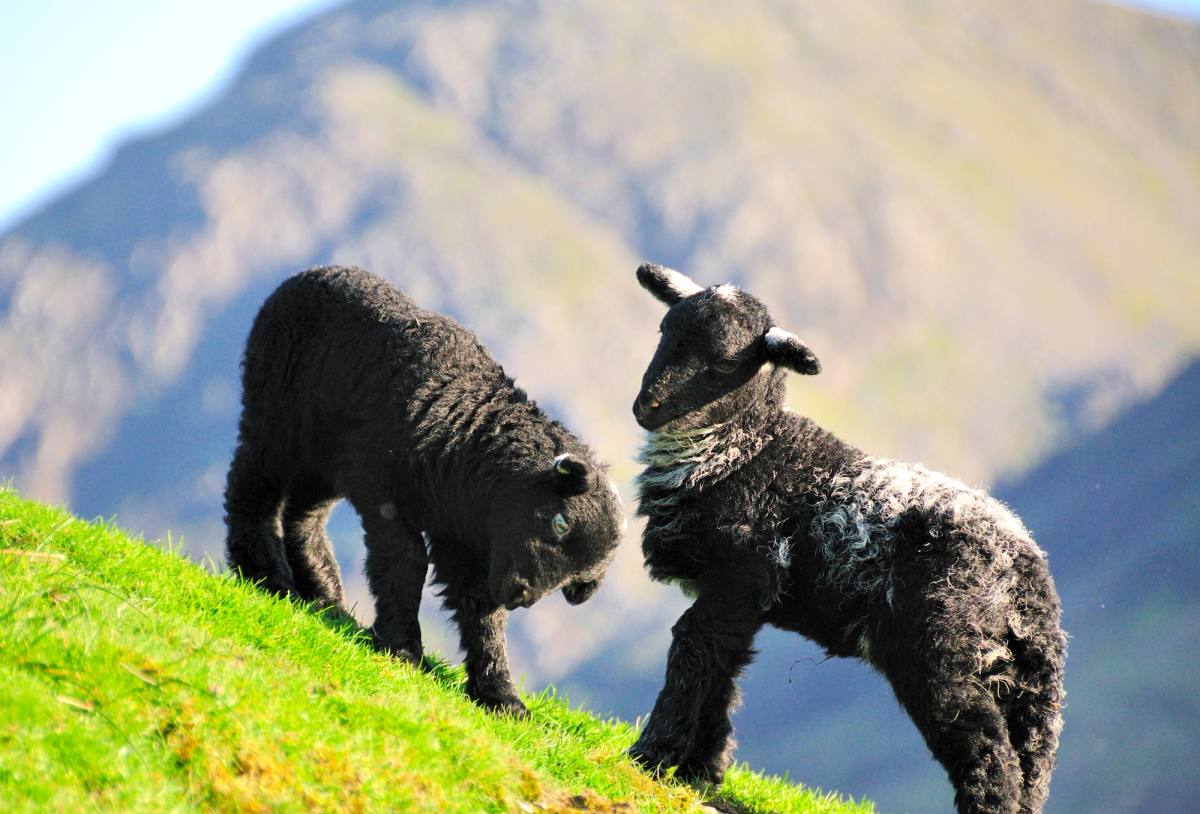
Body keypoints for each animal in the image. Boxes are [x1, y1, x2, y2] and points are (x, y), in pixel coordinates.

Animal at [224, 265, 623, 716]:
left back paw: (325, 595)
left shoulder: (465, 540)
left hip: (324, 460)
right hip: (276, 414)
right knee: (253, 483)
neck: (467, 438)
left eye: (576, 579)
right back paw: (266, 574)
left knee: (303, 515)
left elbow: (481, 609)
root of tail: (308, 273)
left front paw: (500, 695)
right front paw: (401, 647)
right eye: (559, 522)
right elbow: (405, 560)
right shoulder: (385, 489)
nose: (521, 595)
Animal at [626, 263, 1066, 814]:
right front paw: (701, 769)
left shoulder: (740, 574)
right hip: (1020, 679)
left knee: (987, 748)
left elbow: (694, 647)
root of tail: (1027, 578)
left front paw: (650, 755)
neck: (744, 450)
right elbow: (724, 667)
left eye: (724, 361)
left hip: (942, 645)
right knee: (1030, 761)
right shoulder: (745, 596)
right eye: (664, 330)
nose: (646, 406)